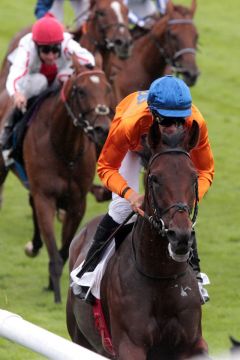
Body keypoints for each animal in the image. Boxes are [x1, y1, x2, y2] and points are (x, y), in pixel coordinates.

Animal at [0, 57, 111, 304]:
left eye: (107, 87)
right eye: (81, 91)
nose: (102, 129)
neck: (64, 148)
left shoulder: (77, 202)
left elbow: (64, 249)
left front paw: (56, 284)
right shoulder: (46, 198)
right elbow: (54, 251)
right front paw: (57, 295)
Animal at [66, 120, 209, 358]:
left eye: (194, 177)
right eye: (155, 178)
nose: (180, 236)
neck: (161, 276)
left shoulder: (193, 342)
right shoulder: (129, 345)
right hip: (80, 338)